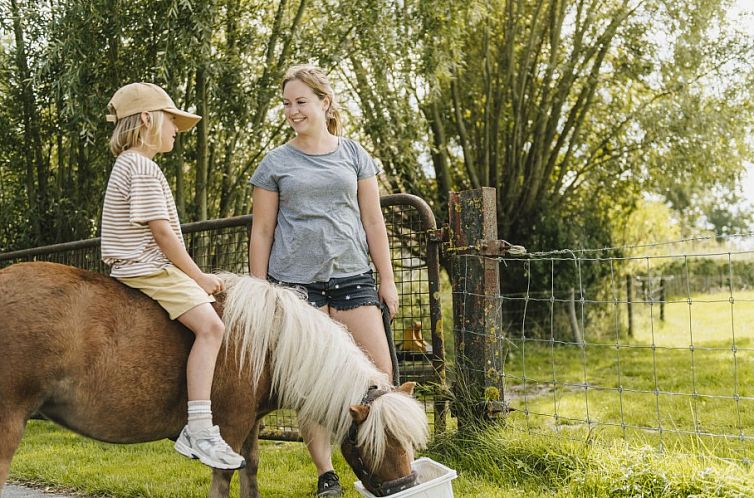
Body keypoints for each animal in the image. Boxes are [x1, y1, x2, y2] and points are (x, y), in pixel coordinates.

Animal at [0, 262, 426, 496]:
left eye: (408, 441)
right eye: (379, 442)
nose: (406, 486)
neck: (268, 342)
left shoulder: (250, 427)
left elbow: (250, 473)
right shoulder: (230, 427)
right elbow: (223, 479)